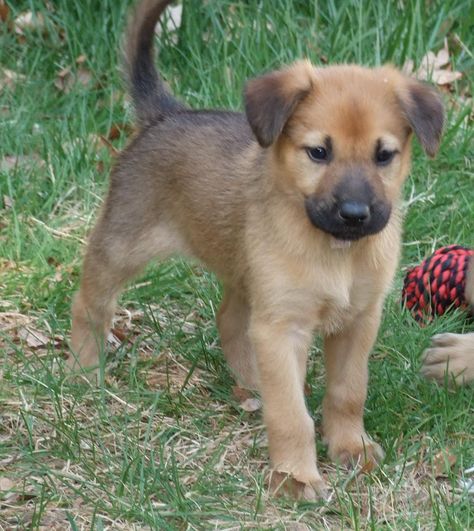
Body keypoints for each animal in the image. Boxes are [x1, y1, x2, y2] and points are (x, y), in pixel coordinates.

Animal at [69, 0, 444, 498]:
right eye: (318, 152)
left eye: (384, 155)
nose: (354, 213)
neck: (337, 253)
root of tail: (166, 115)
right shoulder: (282, 327)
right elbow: (291, 415)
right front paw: (296, 476)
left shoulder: (358, 322)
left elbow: (348, 393)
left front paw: (351, 447)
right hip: (122, 245)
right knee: (90, 302)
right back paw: (82, 369)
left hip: (246, 273)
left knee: (230, 320)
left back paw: (251, 382)